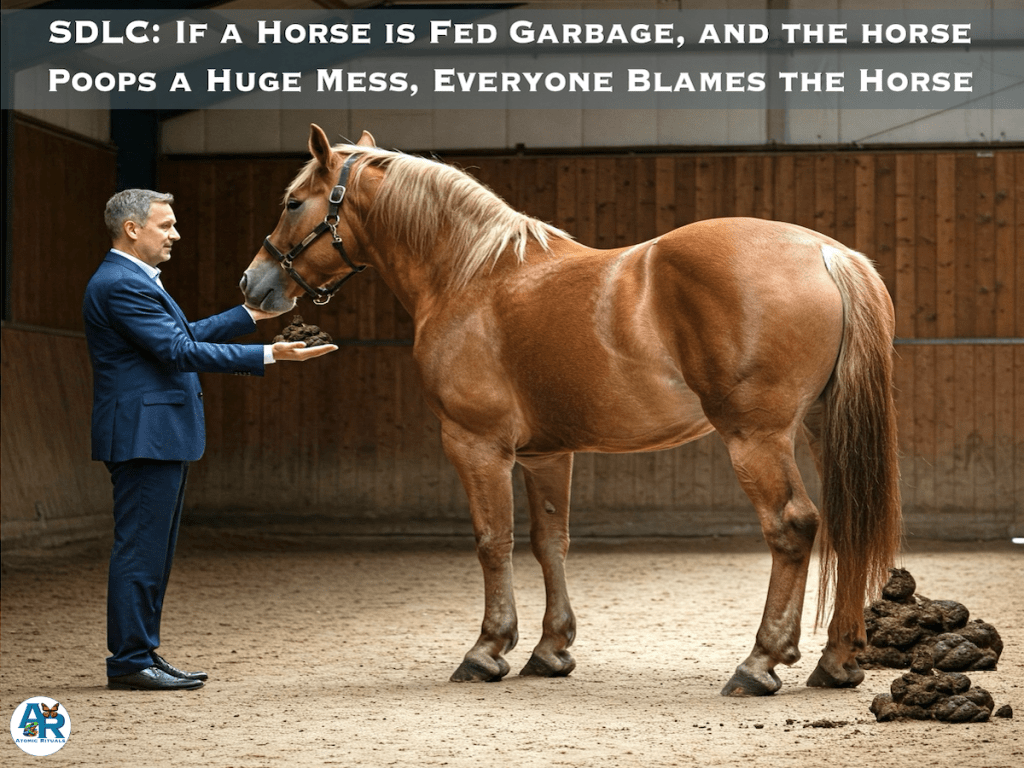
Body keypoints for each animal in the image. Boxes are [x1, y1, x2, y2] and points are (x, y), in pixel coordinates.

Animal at [240, 124, 902, 697]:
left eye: (295, 202)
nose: (254, 284)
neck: (469, 275)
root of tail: (825, 252)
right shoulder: (546, 454)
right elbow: (548, 542)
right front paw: (550, 649)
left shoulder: (475, 443)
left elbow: (493, 540)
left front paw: (487, 649)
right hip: (821, 429)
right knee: (847, 524)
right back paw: (837, 660)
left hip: (755, 436)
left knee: (792, 526)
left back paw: (760, 661)